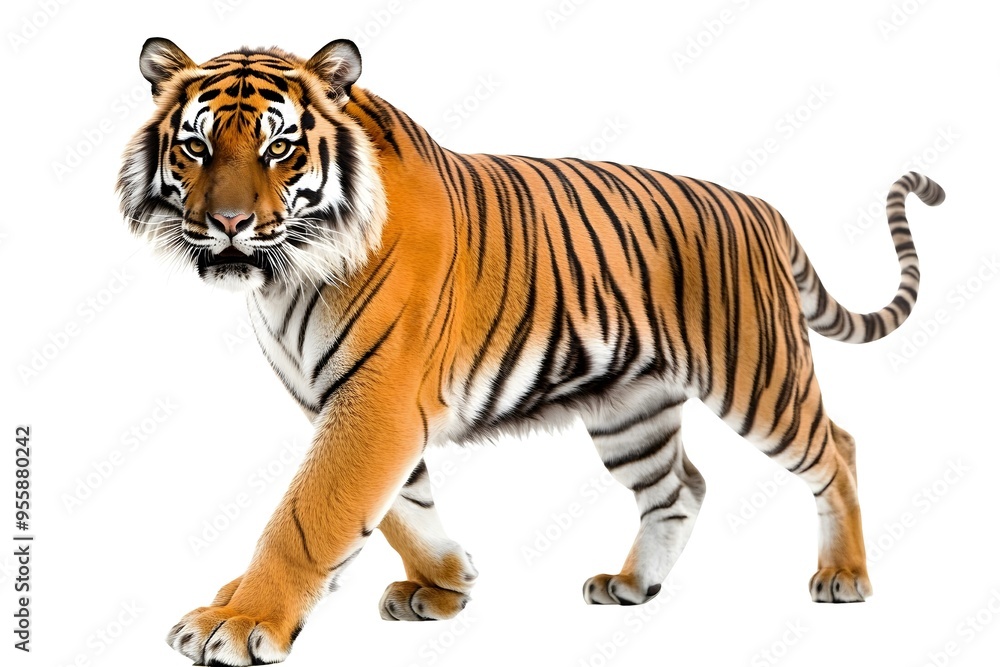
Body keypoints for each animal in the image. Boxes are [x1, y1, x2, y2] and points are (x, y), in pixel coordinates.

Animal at [118, 37, 944, 666]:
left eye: (280, 147)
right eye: (195, 147)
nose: (227, 223)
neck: (289, 273)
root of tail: (763, 208)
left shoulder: (377, 399)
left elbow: (310, 512)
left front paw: (238, 620)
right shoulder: (350, 399)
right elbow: (398, 506)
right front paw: (447, 581)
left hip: (757, 374)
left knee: (836, 446)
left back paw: (843, 574)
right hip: (630, 408)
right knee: (680, 486)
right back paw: (632, 584)